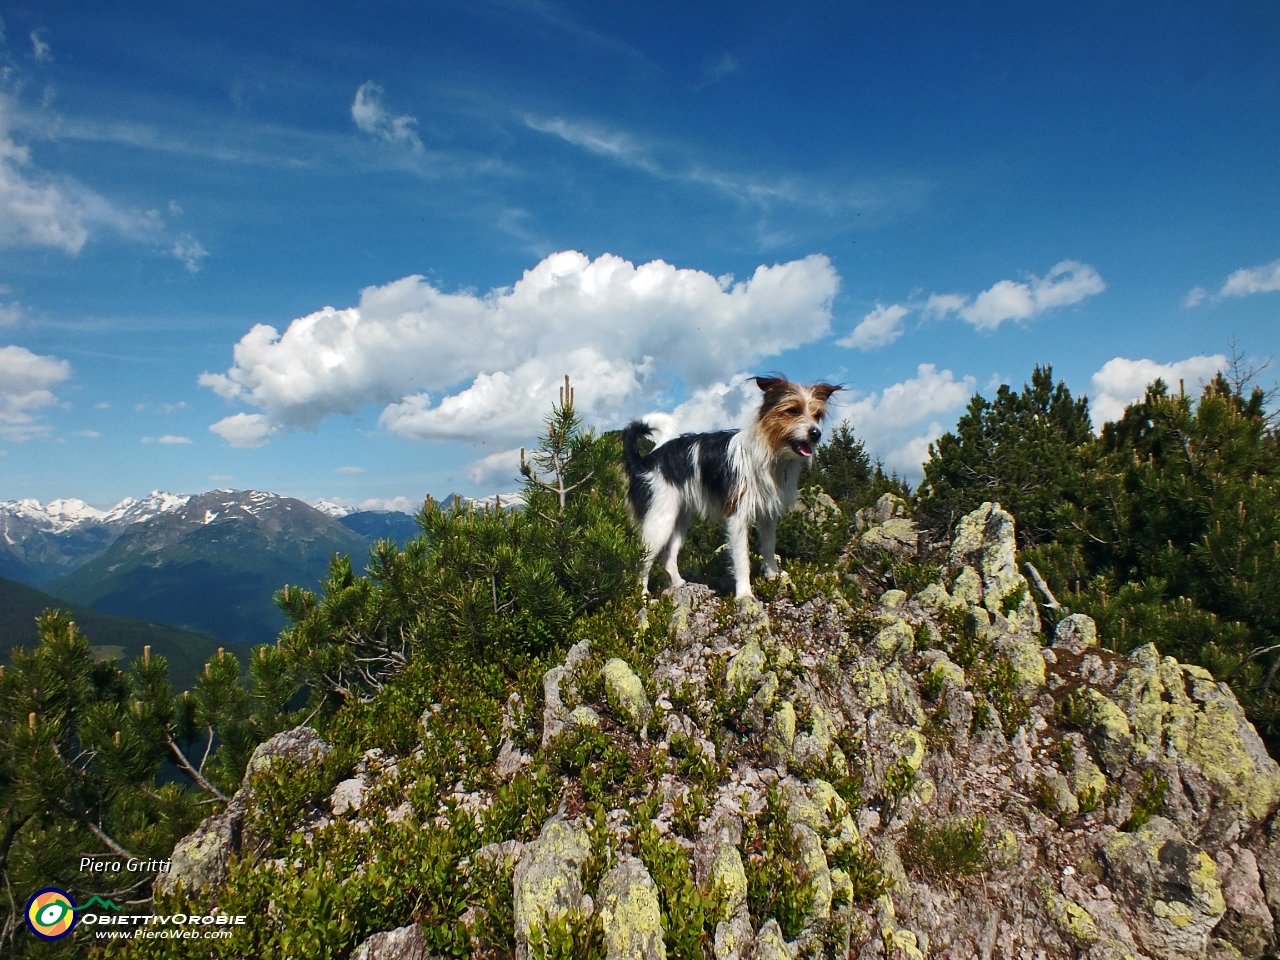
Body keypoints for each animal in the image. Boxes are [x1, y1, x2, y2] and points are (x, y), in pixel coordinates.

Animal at [619, 378, 839, 599]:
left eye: (817, 415)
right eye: (793, 410)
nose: (816, 433)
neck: (769, 453)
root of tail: (644, 461)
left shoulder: (767, 516)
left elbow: (768, 548)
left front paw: (774, 577)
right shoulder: (737, 517)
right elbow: (742, 559)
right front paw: (744, 594)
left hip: (678, 520)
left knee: (668, 557)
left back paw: (680, 584)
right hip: (658, 523)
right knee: (642, 562)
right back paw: (643, 597)